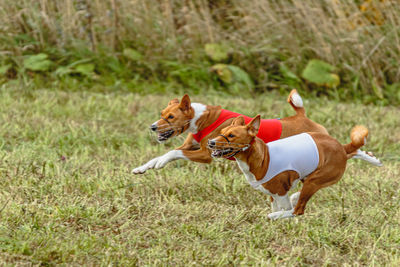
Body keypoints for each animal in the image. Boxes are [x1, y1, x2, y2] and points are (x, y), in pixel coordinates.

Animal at [132, 90, 382, 175]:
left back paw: (371, 158)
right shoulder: (190, 146)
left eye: (171, 118)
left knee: (348, 149)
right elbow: (163, 153)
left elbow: (172, 154)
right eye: (162, 113)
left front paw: (158, 164)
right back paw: (370, 157)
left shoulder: (206, 154)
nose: (153, 127)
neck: (202, 119)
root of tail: (301, 115)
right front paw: (142, 168)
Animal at [208, 116, 374, 221]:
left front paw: (278, 218)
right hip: (310, 177)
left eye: (231, 135)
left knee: (298, 210)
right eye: (221, 132)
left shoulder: (281, 193)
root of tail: (342, 147)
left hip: (314, 180)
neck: (264, 159)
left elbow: (284, 209)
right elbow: (276, 206)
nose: (210, 142)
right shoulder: (273, 195)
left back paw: (277, 215)